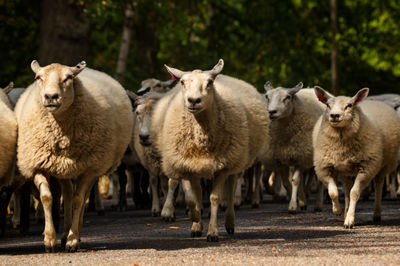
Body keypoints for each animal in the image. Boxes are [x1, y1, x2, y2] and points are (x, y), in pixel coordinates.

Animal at [14, 60, 133, 251]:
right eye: (38, 77)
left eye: (68, 78)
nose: (51, 97)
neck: (61, 133)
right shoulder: (38, 164)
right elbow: (47, 197)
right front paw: (50, 239)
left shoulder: (89, 169)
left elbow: (79, 201)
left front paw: (72, 240)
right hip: (63, 167)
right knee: (68, 193)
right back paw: (63, 234)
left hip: (95, 166)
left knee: (80, 197)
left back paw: (74, 233)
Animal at [152, 59, 270, 242]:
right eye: (182, 82)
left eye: (209, 83)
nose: (193, 100)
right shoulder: (185, 165)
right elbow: (191, 198)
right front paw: (194, 219)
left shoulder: (222, 167)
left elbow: (215, 198)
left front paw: (212, 232)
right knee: (199, 192)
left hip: (236, 158)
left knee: (231, 189)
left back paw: (229, 223)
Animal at [264, 82, 326, 213]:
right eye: (267, 96)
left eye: (287, 97)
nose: (272, 112)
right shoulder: (281, 158)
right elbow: (287, 183)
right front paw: (298, 202)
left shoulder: (300, 156)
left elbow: (295, 181)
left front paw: (292, 206)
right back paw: (303, 201)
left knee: (320, 181)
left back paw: (318, 205)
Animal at [312, 86, 400, 228]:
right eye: (327, 105)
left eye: (349, 105)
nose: (334, 115)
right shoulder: (325, 167)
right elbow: (333, 192)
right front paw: (338, 210)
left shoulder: (366, 168)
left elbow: (354, 193)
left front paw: (349, 220)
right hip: (346, 171)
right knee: (347, 191)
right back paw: (345, 212)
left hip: (384, 165)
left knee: (378, 186)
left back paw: (376, 214)